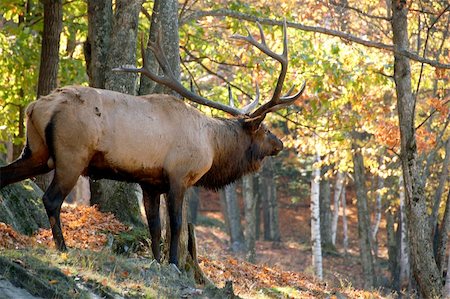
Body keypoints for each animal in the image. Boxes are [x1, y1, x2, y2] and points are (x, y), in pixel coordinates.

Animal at [0, 21, 306, 266]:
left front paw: (157, 261)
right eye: (265, 129)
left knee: (5, 176)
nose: (280, 143)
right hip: (71, 154)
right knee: (51, 199)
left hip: (36, 151)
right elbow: (176, 225)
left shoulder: (149, 182)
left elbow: (154, 226)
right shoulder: (179, 175)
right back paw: (63, 247)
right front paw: (173, 263)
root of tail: (36, 107)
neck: (212, 146)